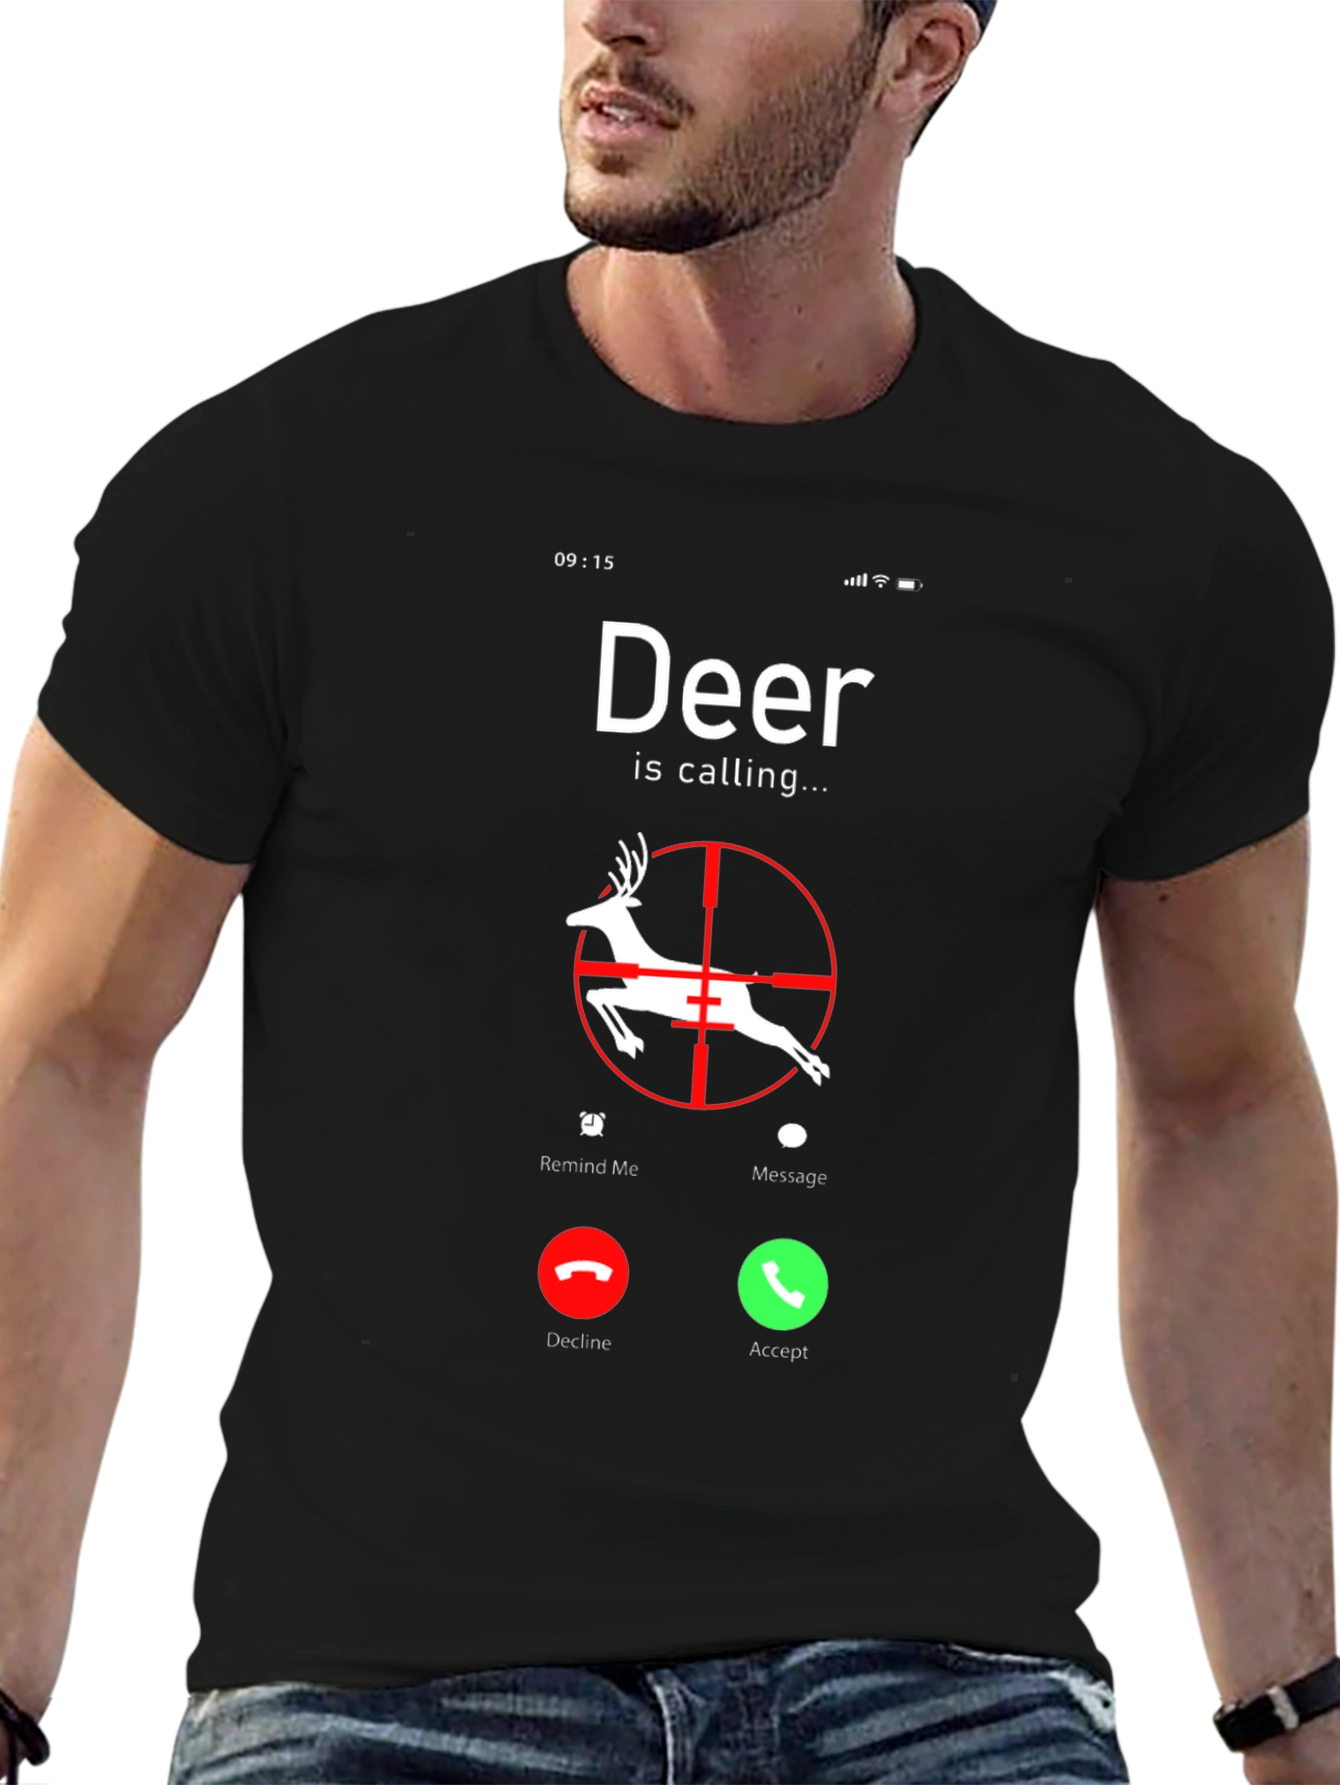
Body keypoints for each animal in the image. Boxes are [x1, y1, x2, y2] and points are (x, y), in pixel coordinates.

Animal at [565, 835, 830, 1088]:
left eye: (603, 906)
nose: (570, 918)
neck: (637, 963)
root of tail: (744, 984)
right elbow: (596, 994)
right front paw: (630, 1043)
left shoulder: (643, 1000)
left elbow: (595, 994)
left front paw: (630, 1043)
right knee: (780, 1032)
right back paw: (818, 1068)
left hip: (739, 1017)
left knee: (779, 1033)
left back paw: (817, 1070)